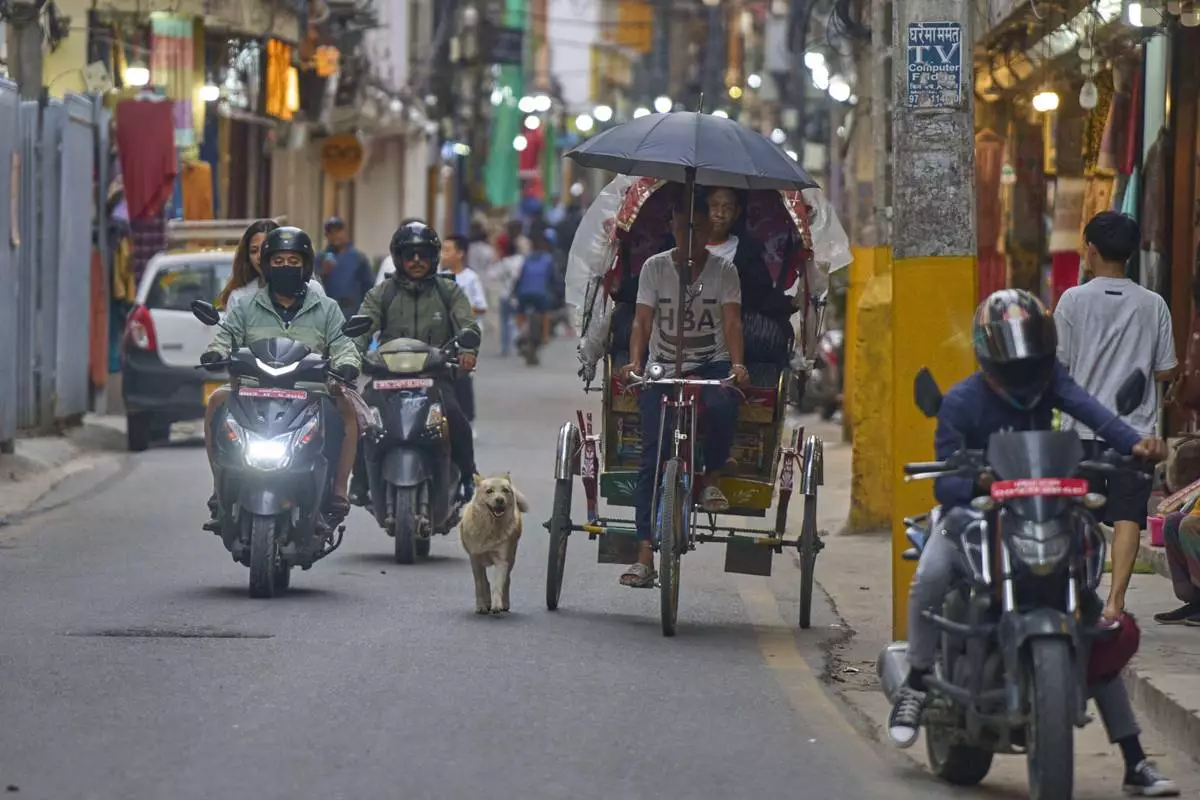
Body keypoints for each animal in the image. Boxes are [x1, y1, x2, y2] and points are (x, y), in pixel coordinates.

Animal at [460, 473, 529, 614]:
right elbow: (480, 584)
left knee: (507, 580)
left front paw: (496, 605)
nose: (500, 500)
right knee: (484, 582)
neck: (490, 530)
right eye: (489, 491)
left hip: (511, 557)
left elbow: (497, 585)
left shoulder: (502, 560)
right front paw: (481, 605)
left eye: (505, 490)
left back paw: (504, 602)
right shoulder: (475, 559)